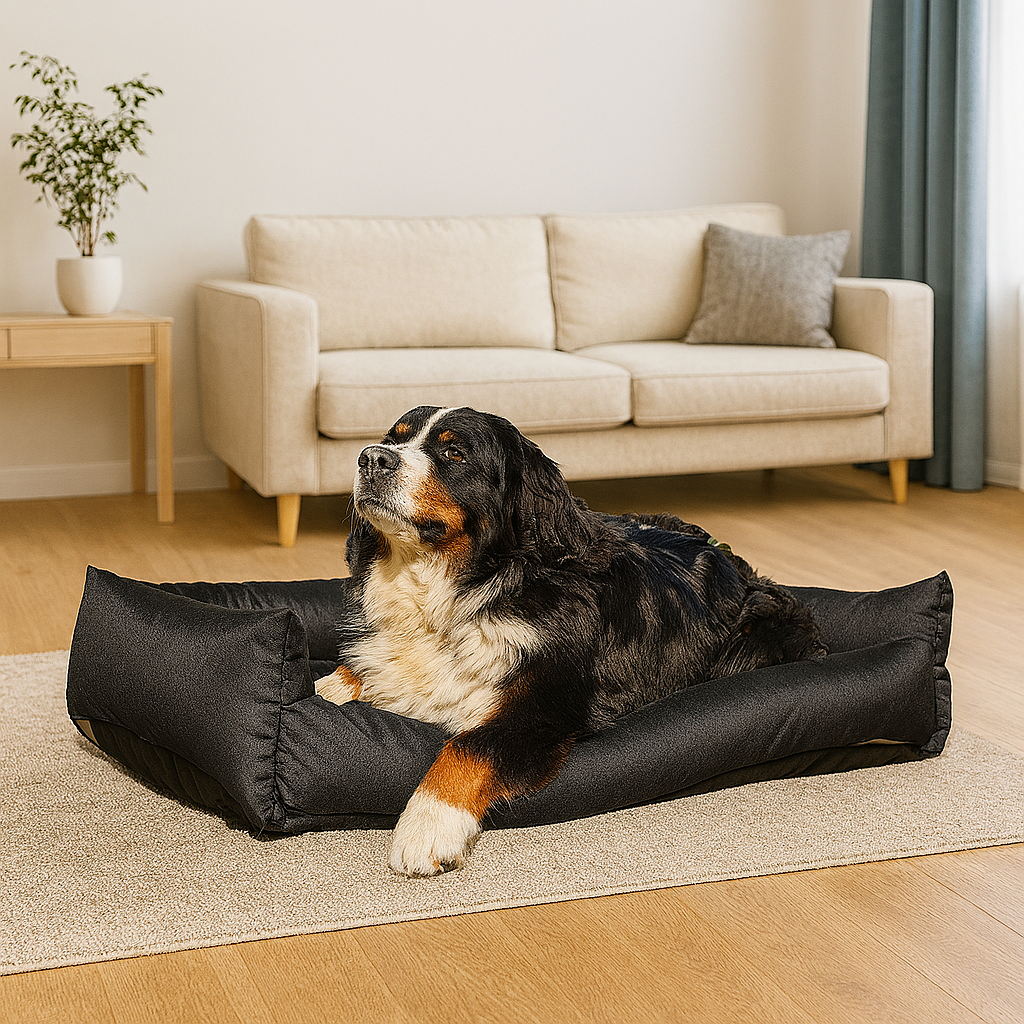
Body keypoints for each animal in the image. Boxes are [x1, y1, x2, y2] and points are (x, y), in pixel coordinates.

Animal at [316, 405, 826, 877]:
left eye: (453, 453)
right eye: (393, 438)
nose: (371, 458)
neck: (455, 591)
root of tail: (729, 555)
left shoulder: (543, 709)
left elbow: (466, 748)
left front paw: (426, 828)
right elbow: (359, 671)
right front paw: (330, 684)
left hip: (761, 633)